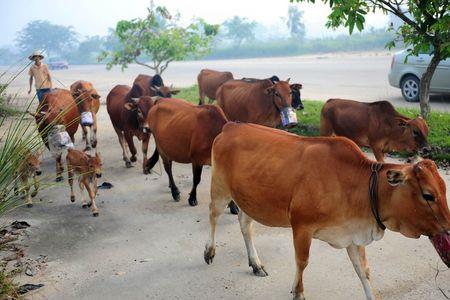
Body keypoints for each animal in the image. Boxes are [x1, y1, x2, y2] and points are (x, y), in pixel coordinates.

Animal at [206, 122, 450, 300]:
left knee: (245, 225)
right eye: (428, 195)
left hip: (250, 199)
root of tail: (231, 126)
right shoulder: (301, 227)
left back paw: (256, 264)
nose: (448, 228)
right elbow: (302, 262)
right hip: (220, 188)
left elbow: (364, 271)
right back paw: (209, 251)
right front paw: (298, 293)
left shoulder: (353, 235)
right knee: (213, 215)